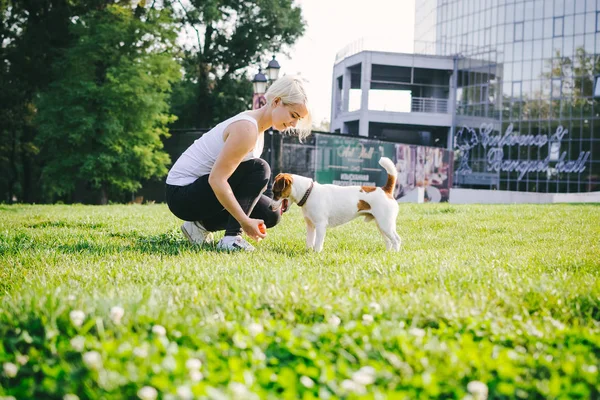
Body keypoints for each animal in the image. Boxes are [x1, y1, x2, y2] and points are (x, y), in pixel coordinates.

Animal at [270, 156, 400, 250]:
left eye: (276, 192)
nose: (270, 207)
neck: (309, 192)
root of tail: (385, 190)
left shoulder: (321, 225)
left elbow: (317, 244)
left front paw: (316, 254)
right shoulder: (310, 226)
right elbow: (309, 242)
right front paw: (308, 253)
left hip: (386, 224)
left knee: (396, 240)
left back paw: (394, 254)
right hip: (381, 225)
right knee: (388, 241)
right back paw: (387, 253)